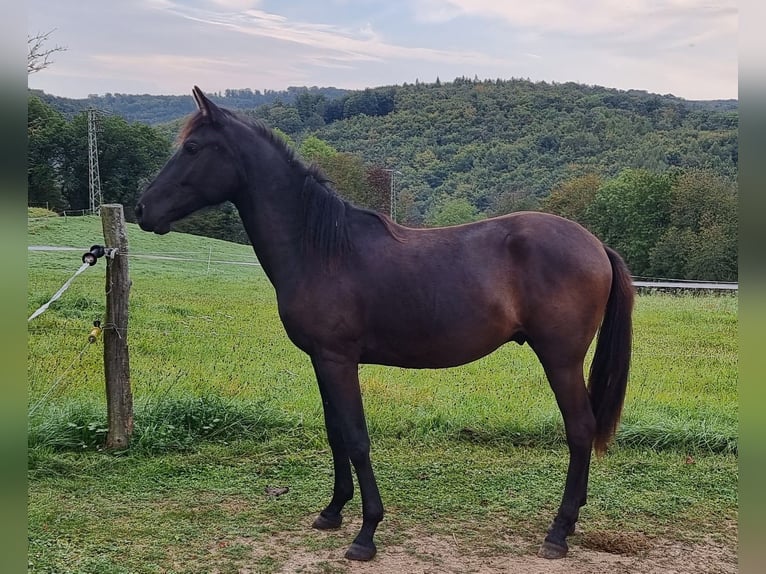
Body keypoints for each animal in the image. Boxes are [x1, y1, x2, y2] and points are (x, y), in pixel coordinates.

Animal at [136, 86, 636, 564]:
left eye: (193, 147)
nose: (142, 209)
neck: (321, 248)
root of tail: (596, 245)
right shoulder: (322, 361)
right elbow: (335, 432)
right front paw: (332, 511)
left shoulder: (339, 360)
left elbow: (357, 439)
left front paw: (366, 533)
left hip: (560, 360)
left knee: (580, 429)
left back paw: (558, 532)